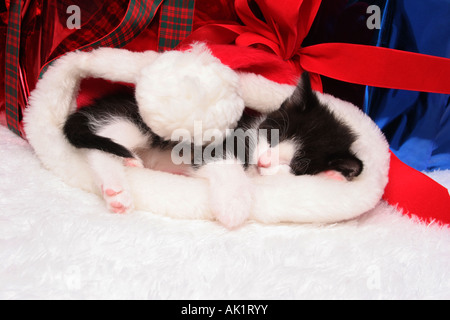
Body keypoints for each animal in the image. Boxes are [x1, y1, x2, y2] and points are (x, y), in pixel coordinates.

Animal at [65, 72, 364, 228]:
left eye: (299, 165)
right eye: (275, 135)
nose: (264, 162)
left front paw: (334, 175)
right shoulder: (219, 141)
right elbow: (226, 163)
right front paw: (234, 204)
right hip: (136, 123)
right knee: (101, 144)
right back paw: (116, 189)